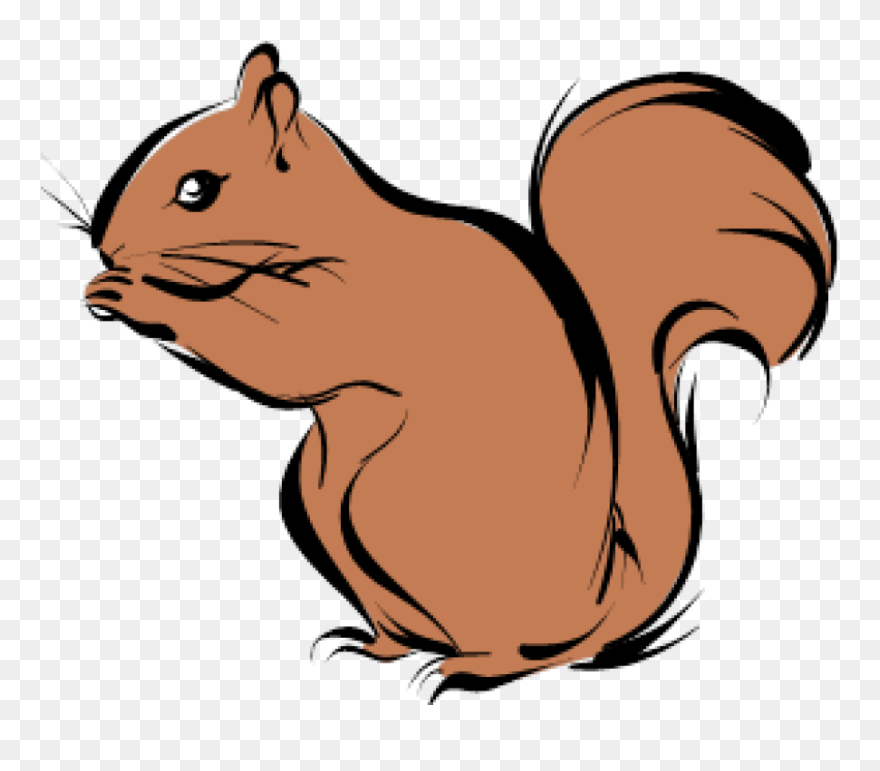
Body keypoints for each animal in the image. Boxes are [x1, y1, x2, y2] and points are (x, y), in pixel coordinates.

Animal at [80, 43, 836, 700]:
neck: (334, 226)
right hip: (317, 501)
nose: (108, 247)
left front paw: (131, 292)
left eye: (198, 189)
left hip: (398, 510)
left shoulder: (357, 304)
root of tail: (606, 591)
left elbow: (279, 349)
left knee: (543, 648)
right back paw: (373, 646)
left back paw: (474, 668)